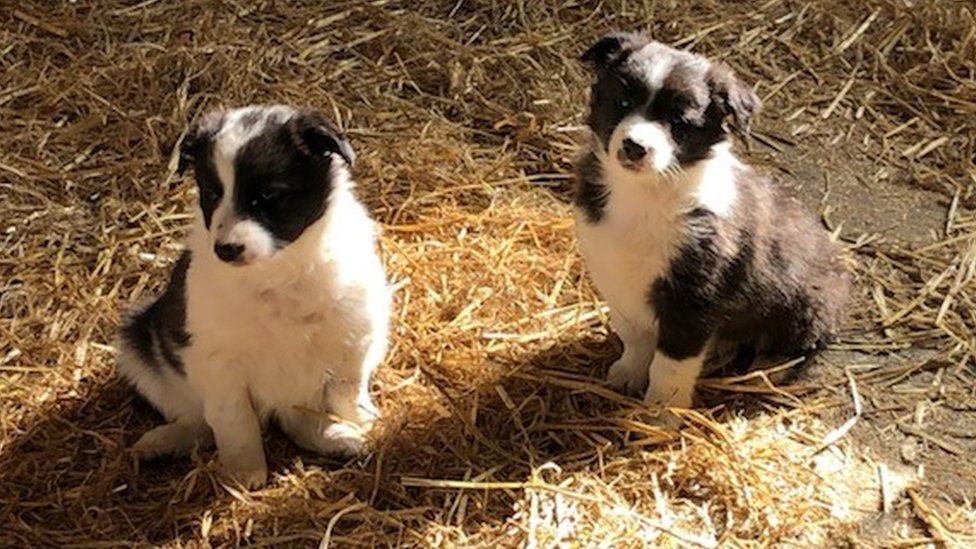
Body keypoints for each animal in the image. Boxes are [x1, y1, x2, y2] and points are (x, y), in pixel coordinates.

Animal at [121, 105, 392, 486]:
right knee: (199, 421)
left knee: (296, 415)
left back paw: (336, 436)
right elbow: (234, 419)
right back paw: (163, 441)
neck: (277, 272)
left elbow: (346, 390)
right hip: (137, 346)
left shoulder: (355, 334)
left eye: (268, 197)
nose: (226, 249)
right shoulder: (217, 361)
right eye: (212, 194)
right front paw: (242, 472)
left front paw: (359, 421)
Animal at [576, 32, 852, 422]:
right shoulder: (615, 274)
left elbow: (670, 365)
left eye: (679, 121)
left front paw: (661, 414)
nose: (634, 147)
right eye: (623, 101)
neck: (647, 193)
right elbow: (634, 335)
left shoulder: (694, 297)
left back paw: (767, 369)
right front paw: (628, 374)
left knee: (802, 347)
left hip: (809, 303)